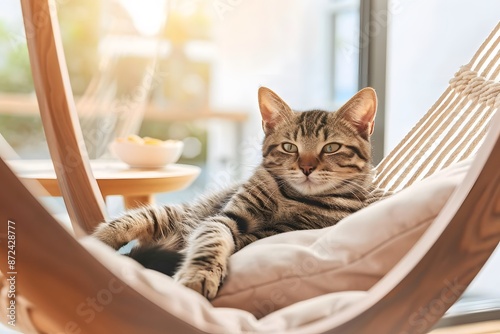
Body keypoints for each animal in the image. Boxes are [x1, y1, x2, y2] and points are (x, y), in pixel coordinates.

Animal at [94, 86, 390, 300]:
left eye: (331, 148)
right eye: (289, 147)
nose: (306, 168)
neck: (291, 196)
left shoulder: (278, 231)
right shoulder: (227, 217)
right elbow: (211, 240)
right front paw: (199, 275)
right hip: (163, 215)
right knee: (119, 226)